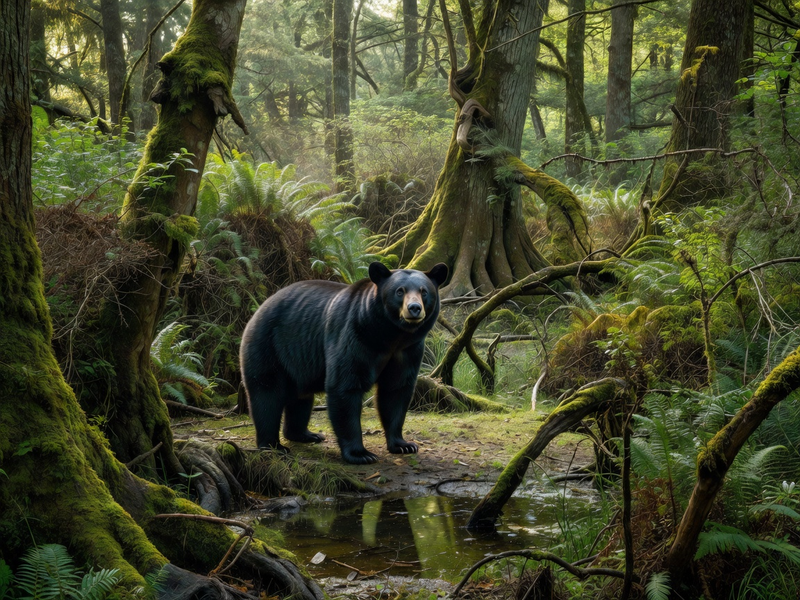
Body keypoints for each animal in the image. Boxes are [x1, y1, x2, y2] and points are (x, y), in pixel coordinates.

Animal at [240, 261, 448, 464]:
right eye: (399, 291)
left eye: (424, 291)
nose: (414, 308)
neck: (389, 335)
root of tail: (259, 309)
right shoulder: (354, 336)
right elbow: (345, 386)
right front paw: (360, 454)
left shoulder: (408, 350)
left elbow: (396, 389)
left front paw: (403, 445)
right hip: (268, 345)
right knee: (267, 394)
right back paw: (272, 444)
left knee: (301, 398)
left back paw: (305, 434)